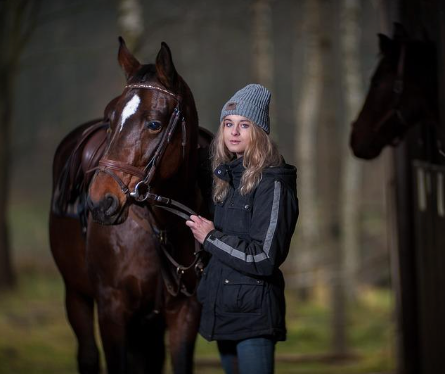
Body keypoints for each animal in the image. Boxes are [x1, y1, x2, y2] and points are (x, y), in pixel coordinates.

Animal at [48, 39, 210, 372]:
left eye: (154, 123)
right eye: (110, 119)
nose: (101, 201)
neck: (161, 228)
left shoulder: (185, 312)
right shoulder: (112, 309)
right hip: (76, 294)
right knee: (88, 354)